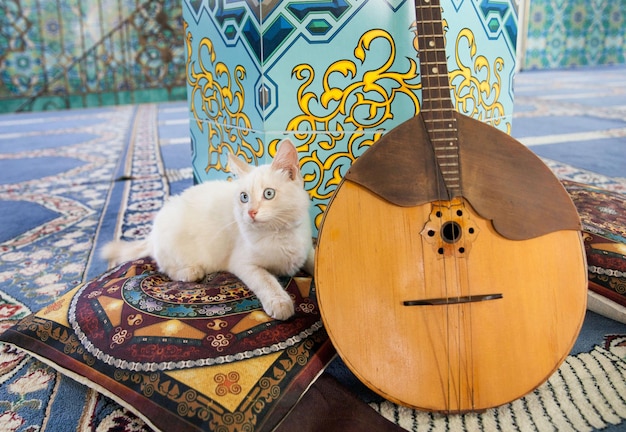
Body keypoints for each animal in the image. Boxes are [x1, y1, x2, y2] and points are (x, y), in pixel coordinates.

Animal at [103, 140, 316, 318]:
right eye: (244, 197)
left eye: (269, 194)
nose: (251, 212)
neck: (280, 233)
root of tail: (153, 232)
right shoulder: (244, 263)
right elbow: (266, 280)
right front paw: (280, 302)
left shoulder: (306, 250)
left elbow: (315, 260)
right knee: (166, 268)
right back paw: (191, 271)